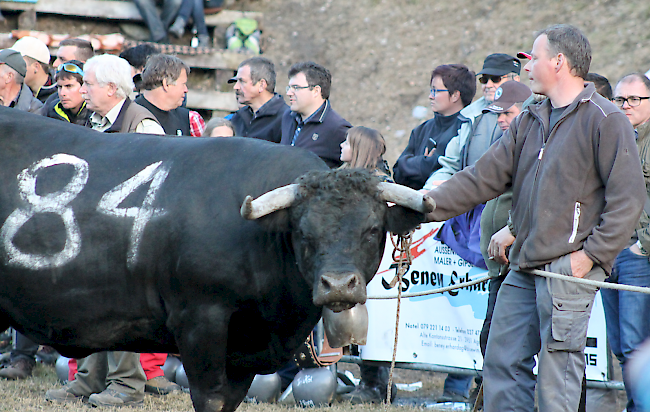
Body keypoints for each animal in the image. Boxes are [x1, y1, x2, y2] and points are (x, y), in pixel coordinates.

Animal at [0, 108, 428, 410]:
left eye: (372, 229)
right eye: (304, 232)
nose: (338, 285)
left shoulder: (243, 352)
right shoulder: (200, 322)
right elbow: (210, 398)